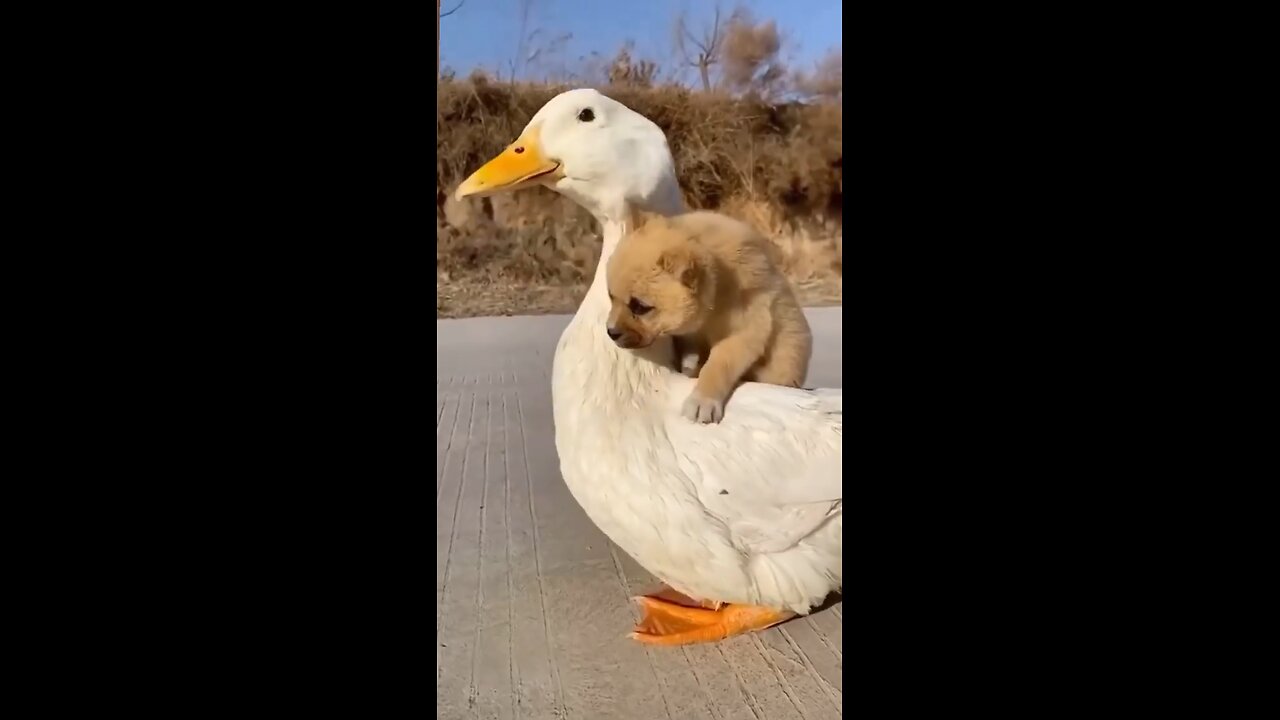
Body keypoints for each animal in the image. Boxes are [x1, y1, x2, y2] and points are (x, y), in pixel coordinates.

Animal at [606, 207, 808, 420]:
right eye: (611, 296)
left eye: (640, 307)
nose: (611, 332)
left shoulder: (747, 321)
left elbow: (720, 363)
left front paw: (702, 402)